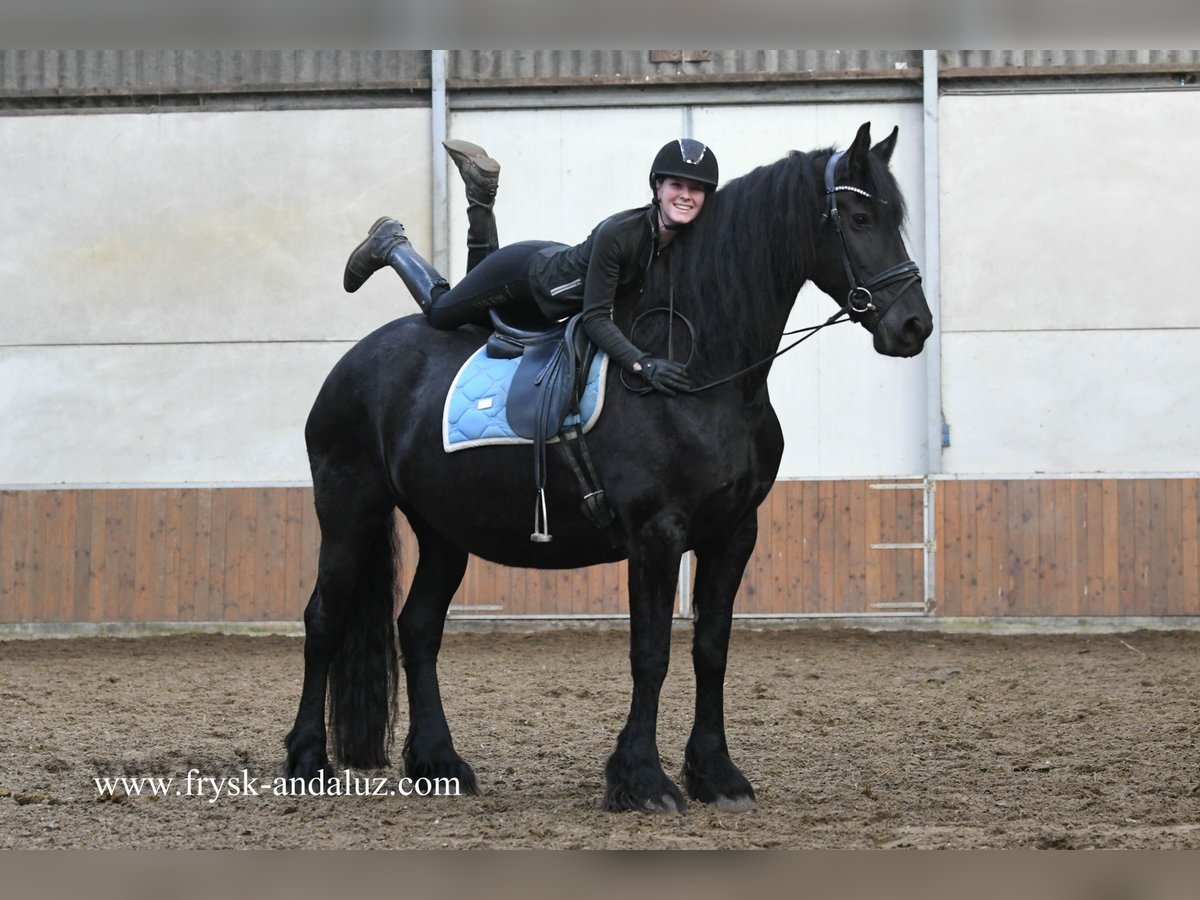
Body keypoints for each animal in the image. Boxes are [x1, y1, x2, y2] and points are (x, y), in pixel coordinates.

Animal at [285, 123, 931, 816]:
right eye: (860, 218)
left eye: (896, 218)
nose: (914, 325)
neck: (701, 372)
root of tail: (357, 361)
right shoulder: (656, 534)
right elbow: (651, 654)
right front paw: (642, 779)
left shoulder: (734, 533)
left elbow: (712, 649)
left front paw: (716, 774)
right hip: (350, 508)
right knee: (324, 618)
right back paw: (306, 760)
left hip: (443, 532)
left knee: (418, 628)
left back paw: (439, 763)